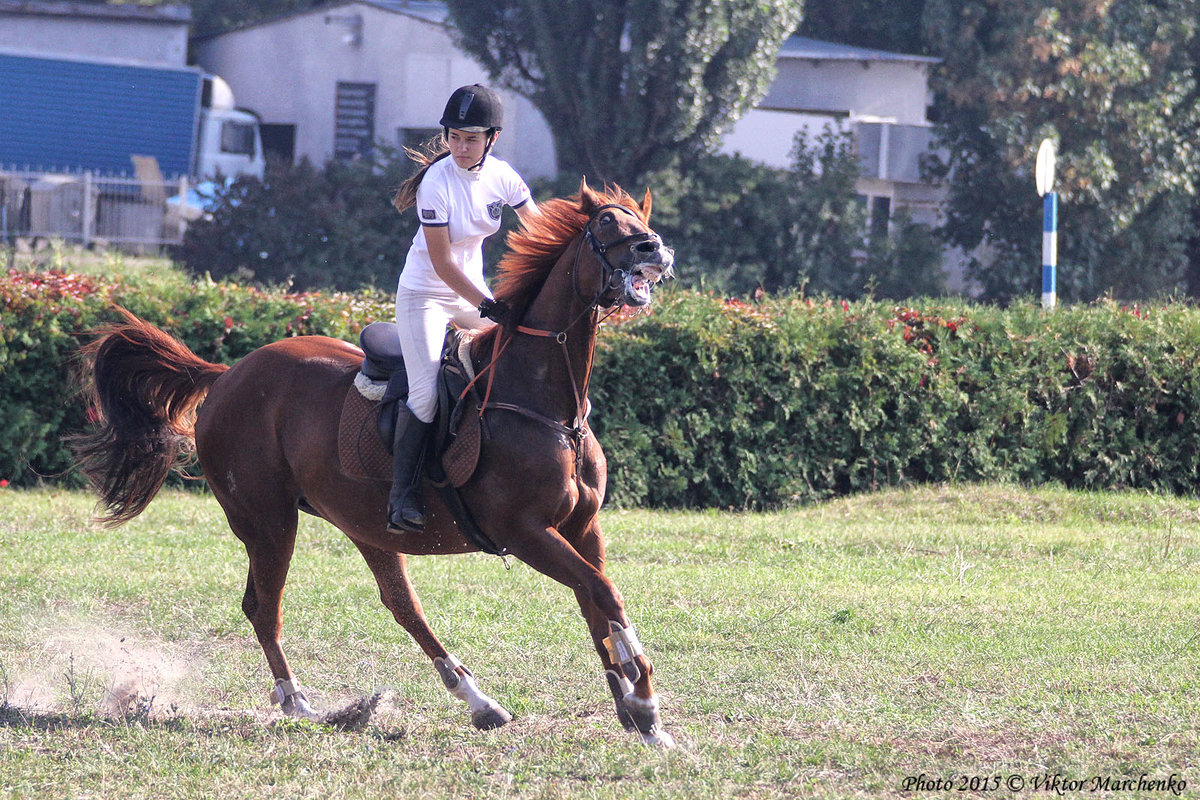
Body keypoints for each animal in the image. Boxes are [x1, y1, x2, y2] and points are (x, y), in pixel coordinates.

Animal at [72, 181, 676, 743]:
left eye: (639, 217)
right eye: (605, 224)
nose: (656, 250)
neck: (545, 404)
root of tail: (226, 374)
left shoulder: (582, 526)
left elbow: (597, 604)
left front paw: (635, 710)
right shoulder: (525, 531)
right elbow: (602, 594)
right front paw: (644, 699)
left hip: (363, 522)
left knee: (400, 604)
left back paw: (478, 701)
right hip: (269, 522)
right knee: (264, 606)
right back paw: (298, 702)